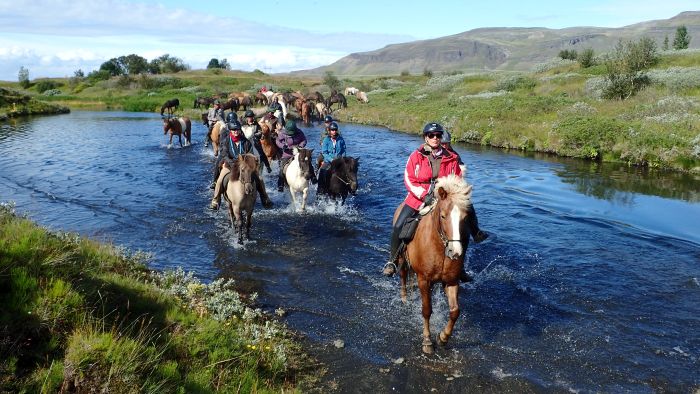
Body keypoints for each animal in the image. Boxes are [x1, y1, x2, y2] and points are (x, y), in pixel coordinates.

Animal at [394, 175, 476, 354]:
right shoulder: (423, 280)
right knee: (403, 275)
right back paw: (403, 298)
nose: (455, 252)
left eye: (465, 218)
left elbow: (455, 311)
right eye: (443, 216)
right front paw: (427, 341)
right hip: (403, 261)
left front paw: (443, 338)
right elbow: (426, 310)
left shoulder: (451, 281)